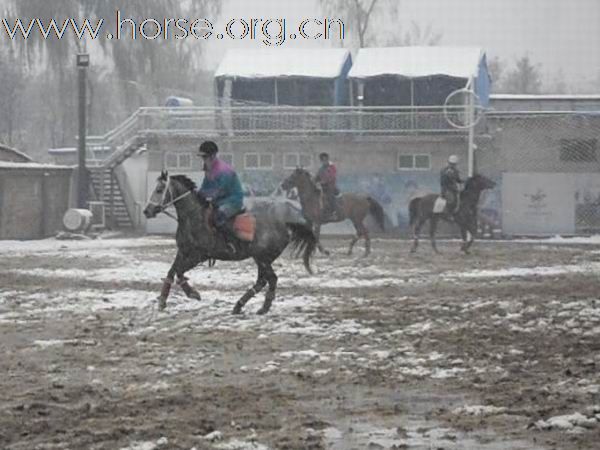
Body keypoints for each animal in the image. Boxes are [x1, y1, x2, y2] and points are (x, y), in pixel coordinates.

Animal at [143, 171, 317, 315]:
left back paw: (262, 308)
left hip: (263, 258)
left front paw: (193, 293)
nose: (147, 211)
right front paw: (162, 301)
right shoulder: (183, 252)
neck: (193, 217)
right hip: (261, 258)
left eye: (159, 189)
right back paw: (240, 306)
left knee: (271, 279)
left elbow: (179, 272)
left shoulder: (199, 256)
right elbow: (171, 272)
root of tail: (285, 224)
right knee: (262, 281)